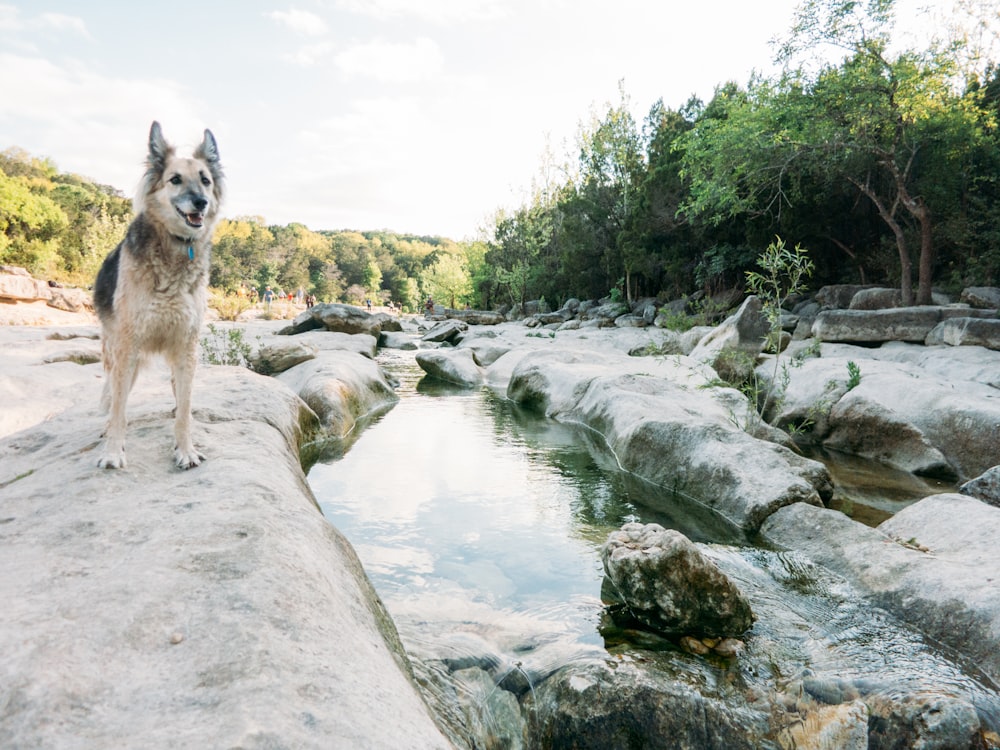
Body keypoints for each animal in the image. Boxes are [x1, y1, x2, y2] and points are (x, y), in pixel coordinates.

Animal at [93, 122, 224, 470]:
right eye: (174, 179)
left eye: (205, 180)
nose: (201, 202)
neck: (174, 249)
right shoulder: (128, 345)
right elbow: (119, 410)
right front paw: (113, 451)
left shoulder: (186, 345)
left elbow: (185, 411)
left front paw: (185, 449)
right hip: (117, 350)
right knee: (112, 391)